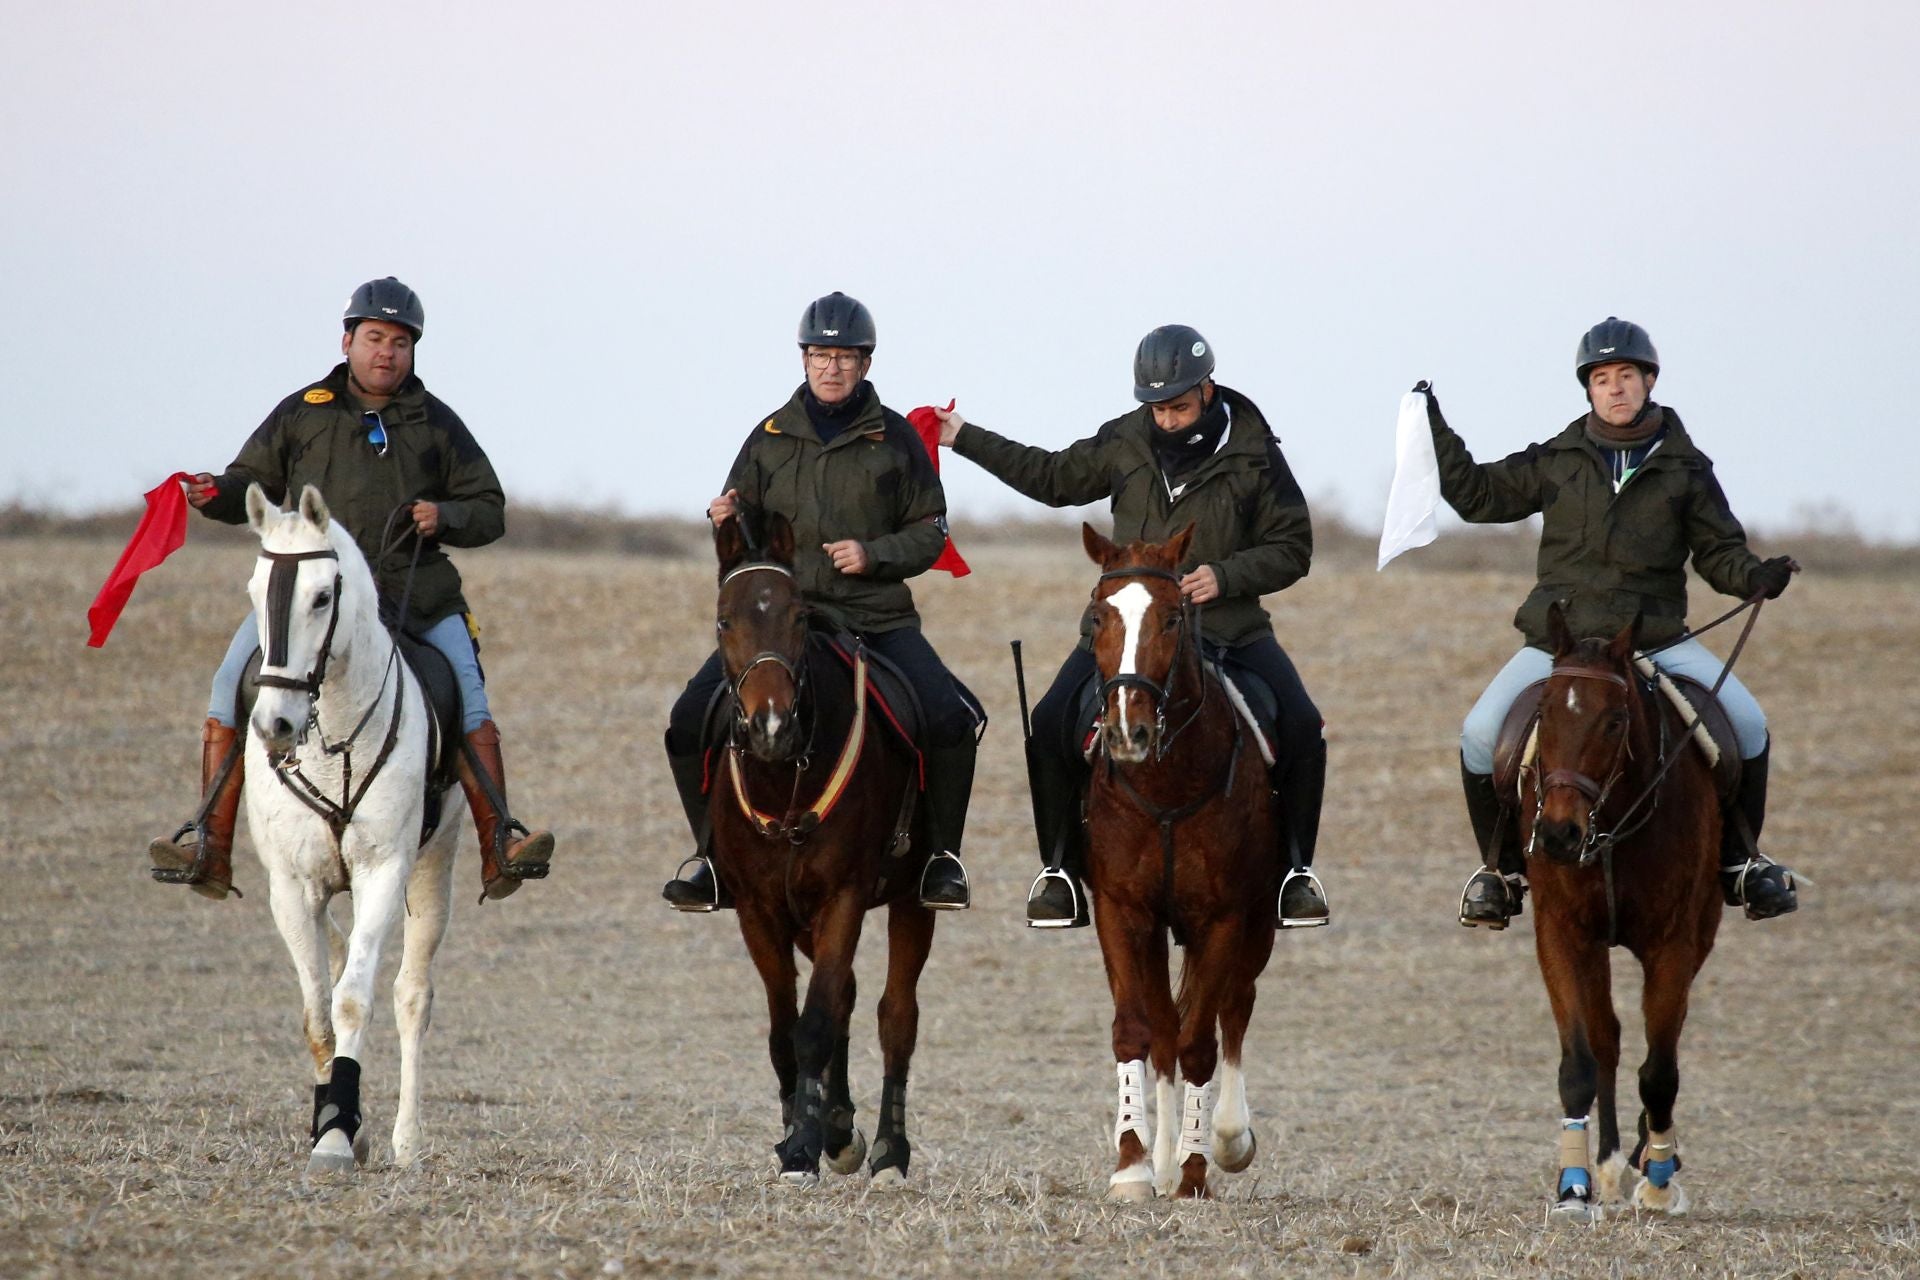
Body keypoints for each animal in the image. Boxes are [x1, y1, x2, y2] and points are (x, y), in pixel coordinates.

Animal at [240, 485, 460, 1174]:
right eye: (254, 591)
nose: (276, 723)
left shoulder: (384, 871)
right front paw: (333, 1126)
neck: (333, 737)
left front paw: (338, 1135)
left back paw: (406, 1140)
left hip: (434, 869)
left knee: (412, 994)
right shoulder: (290, 887)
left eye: (321, 596)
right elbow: (318, 1012)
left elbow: (355, 999)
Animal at [710, 510, 940, 1189]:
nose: (771, 726)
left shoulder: (844, 896)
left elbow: (815, 1023)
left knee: (895, 1017)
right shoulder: (759, 909)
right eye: (725, 620)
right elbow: (787, 1027)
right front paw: (803, 1133)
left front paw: (806, 1147)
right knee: (846, 995)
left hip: (910, 901)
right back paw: (839, 1126)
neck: (785, 777)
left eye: (799, 617)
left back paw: (888, 1149)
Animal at [1082, 521, 1274, 1205]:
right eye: (1097, 617)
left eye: (1172, 617)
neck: (1165, 784)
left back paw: (1226, 1140)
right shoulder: (1122, 910)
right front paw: (1134, 1164)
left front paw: (1194, 1166)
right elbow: (1137, 1029)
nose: (1127, 733)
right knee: (1165, 1024)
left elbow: (1198, 1042)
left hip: (1256, 925)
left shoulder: (1222, 918)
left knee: (1233, 1008)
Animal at [1520, 606, 1720, 1228]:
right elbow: (1580, 1061)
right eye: (1543, 712)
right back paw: (1606, 1163)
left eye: (1614, 722)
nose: (1558, 835)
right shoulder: (1561, 932)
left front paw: (1657, 1181)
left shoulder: (1674, 942)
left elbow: (1659, 1072)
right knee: (1606, 1037)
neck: (1609, 828)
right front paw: (1574, 1187)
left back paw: (1649, 1155)